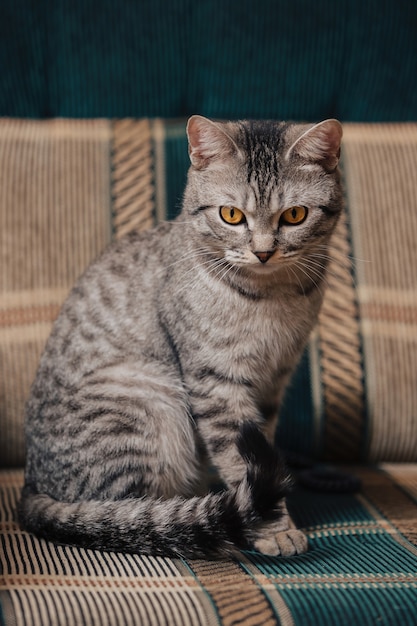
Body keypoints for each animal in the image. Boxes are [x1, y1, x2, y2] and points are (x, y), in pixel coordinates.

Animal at [17, 114, 342, 560]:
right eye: (231, 214)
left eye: (294, 215)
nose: (263, 252)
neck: (272, 297)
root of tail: (31, 485)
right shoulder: (216, 382)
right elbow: (239, 459)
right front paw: (272, 528)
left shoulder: (274, 380)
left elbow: (263, 450)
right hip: (149, 402)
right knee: (128, 512)